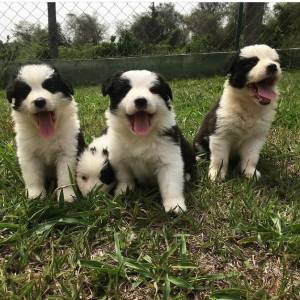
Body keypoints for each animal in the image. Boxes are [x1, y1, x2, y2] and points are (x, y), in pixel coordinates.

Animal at [6, 64, 85, 203]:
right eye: (25, 91)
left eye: (50, 87)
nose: (39, 101)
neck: (46, 134)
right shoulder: (28, 154)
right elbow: (33, 176)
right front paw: (35, 196)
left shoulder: (68, 150)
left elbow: (66, 176)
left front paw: (66, 196)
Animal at [101, 70, 196, 213]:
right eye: (125, 90)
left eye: (153, 90)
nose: (141, 100)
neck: (140, 136)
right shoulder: (119, 158)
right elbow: (124, 176)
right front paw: (123, 192)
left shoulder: (169, 159)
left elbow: (171, 184)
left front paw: (174, 206)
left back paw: (187, 176)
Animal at [193, 44, 282, 180]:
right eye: (251, 62)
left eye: (275, 61)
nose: (273, 66)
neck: (249, 105)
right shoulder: (220, 135)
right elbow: (220, 158)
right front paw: (217, 175)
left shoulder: (255, 138)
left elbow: (251, 157)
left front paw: (250, 173)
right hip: (199, 140)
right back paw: (199, 159)